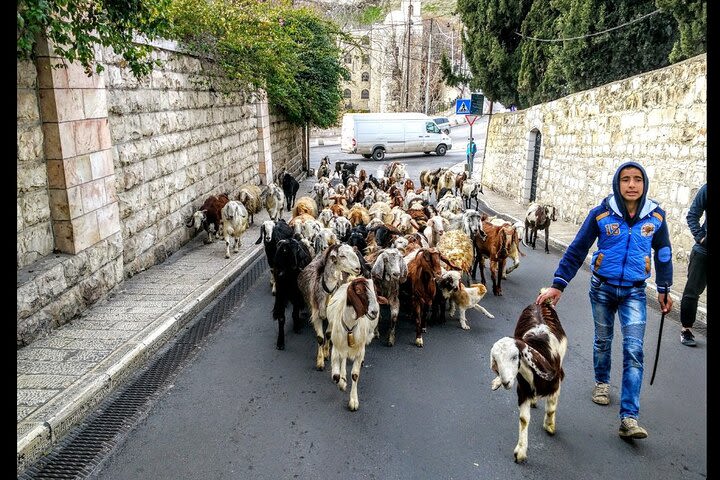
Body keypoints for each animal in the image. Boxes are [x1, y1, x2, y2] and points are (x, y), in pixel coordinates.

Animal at [490, 302, 568, 464]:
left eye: (515, 357)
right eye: (495, 360)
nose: (506, 382)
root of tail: (540, 302)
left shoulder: (556, 383)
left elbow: (551, 409)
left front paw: (549, 426)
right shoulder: (523, 389)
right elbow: (524, 419)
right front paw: (520, 452)